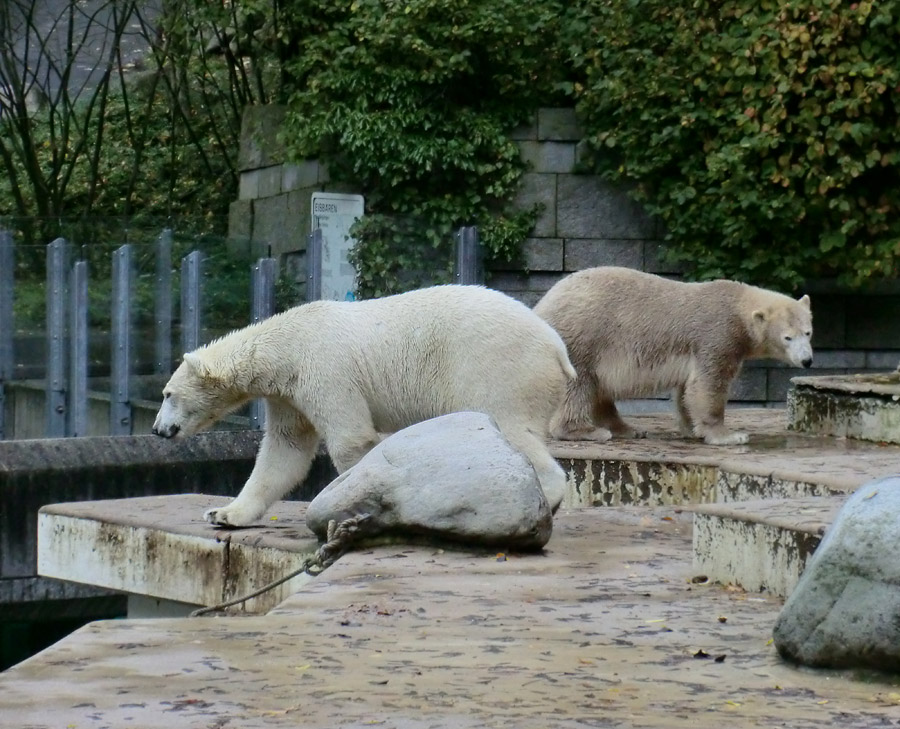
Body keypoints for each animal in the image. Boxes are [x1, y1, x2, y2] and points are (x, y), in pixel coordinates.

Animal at [153, 284, 576, 524]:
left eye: (168, 394)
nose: (158, 430)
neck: (286, 346)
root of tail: (556, 347)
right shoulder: (289, 395)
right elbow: (284, 452)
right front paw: (223, 514)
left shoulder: (325, 371)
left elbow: (350, 440)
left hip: (499, 367)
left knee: (510, 429)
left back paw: (546, 498)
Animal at [536, 268, 816, 444]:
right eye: (787, 337)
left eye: (808, 332)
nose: (807, 360)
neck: (738, 307)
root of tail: (541, 305)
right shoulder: (717, 336)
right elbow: (708, 384)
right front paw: (729, 435)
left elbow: (686, 390)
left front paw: (692, 429)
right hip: (582, 338)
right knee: (579, 385)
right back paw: (588, 432)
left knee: (598, 391)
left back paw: (628, 429)